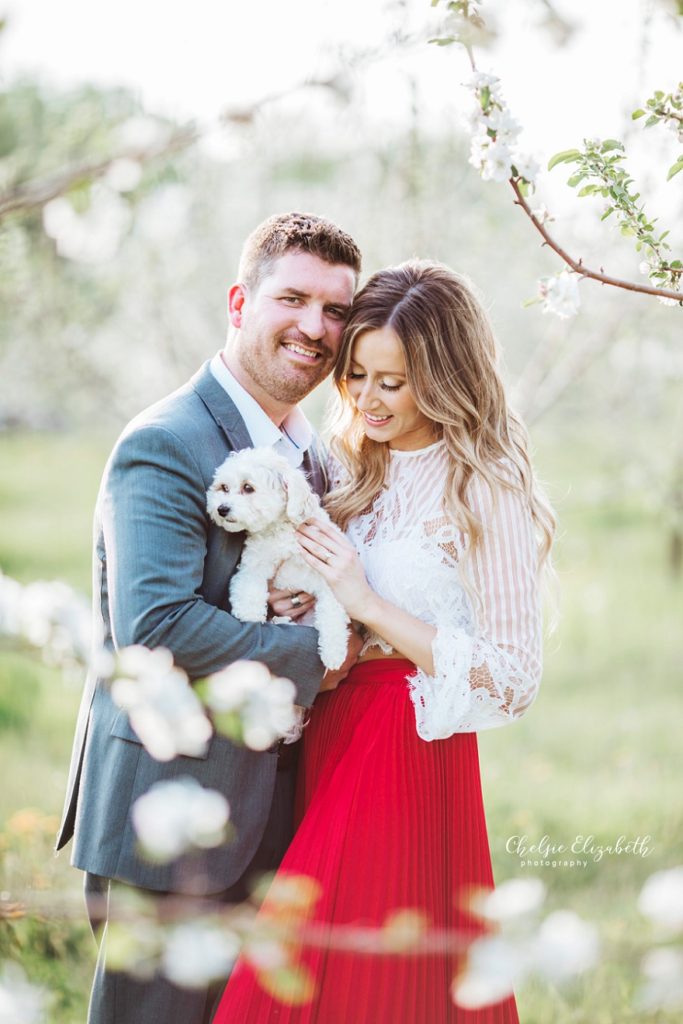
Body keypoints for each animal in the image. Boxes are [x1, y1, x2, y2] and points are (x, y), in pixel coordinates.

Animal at [205, 442, 350, 667]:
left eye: (248, 487)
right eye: (224, 488)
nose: (222, 508)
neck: (279, 530)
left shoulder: (330, 577)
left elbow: (332, 614)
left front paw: (333, 652)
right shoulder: (254, 563)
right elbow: (249, 586)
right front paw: (249, 613)